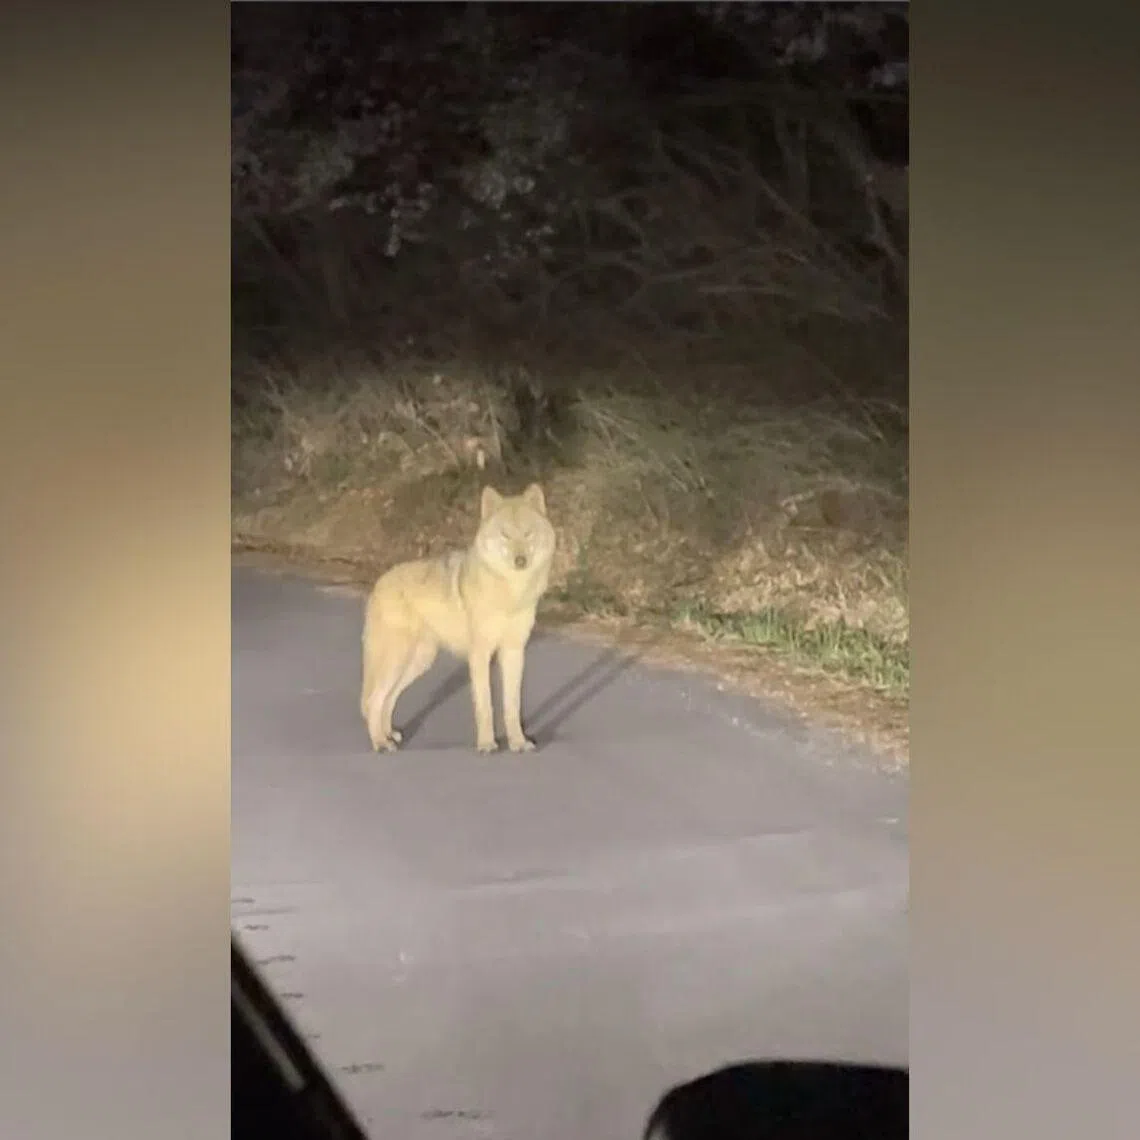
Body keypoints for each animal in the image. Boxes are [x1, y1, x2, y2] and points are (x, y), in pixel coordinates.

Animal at [360, 483, 556, 754]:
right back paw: (379, 742)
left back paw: (389, 736)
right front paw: (487, 744)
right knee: (373, 700)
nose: (520, 561)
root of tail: (379, 582)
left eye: (527, 534)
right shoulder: (480, 654)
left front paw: (518, 742)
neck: (511, 592)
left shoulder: (514, 651)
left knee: (388, 698)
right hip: (398, 660)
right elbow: (485, 706)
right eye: (505, 535)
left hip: (419, 662)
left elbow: (512, 707)